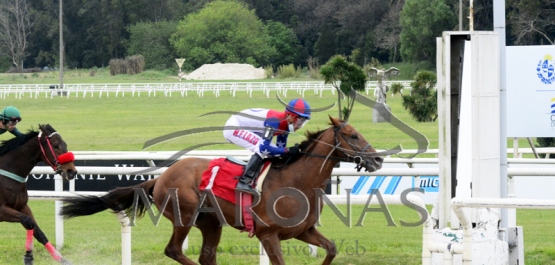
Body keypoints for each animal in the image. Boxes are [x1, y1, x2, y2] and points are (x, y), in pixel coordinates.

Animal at [0, 124, 78, 264]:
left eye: (65, 144)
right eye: (55, 145)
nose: (71, 172)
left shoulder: (22, 206)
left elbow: (37, 231)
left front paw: (63, 260)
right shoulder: (1, 210)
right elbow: (28, 221)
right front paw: (28, 256)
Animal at [59, 116, 382, 262]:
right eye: (353, 135)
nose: (378, 159)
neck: (296, 181)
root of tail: (159, 178)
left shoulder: (304, 231)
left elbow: (331, 248)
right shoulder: (268, 234)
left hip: (211, 222)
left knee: (206, 256)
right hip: (184, 215)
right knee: (174, 250)